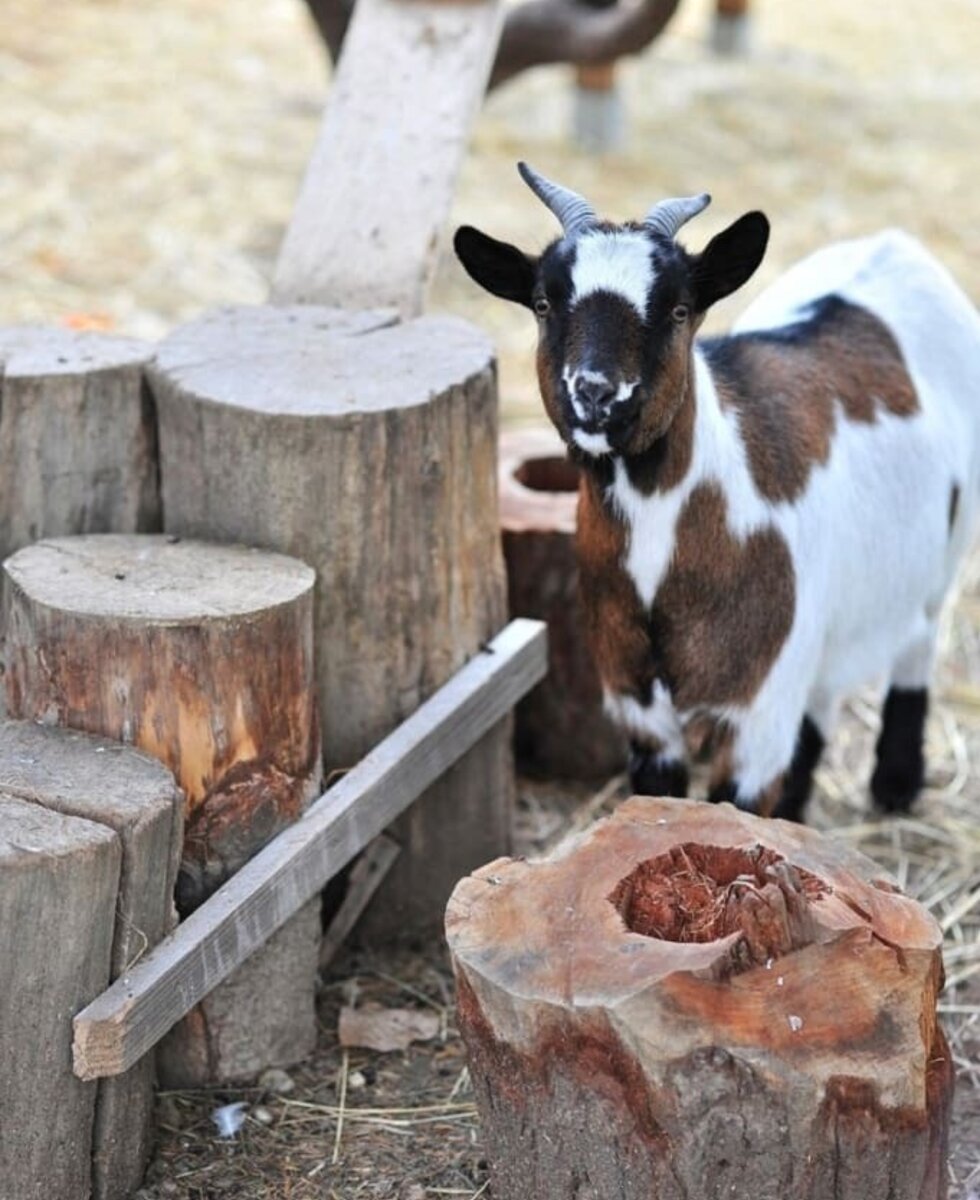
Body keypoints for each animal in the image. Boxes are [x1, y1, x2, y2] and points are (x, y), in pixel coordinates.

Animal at [453, 164, 978, 820]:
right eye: (544, 304)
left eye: (680, 309)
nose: (597, 393)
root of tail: (895, 244)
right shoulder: (638, 703)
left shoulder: (757, 711)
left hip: (946, 551)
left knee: (918, 641)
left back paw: (895, 785)